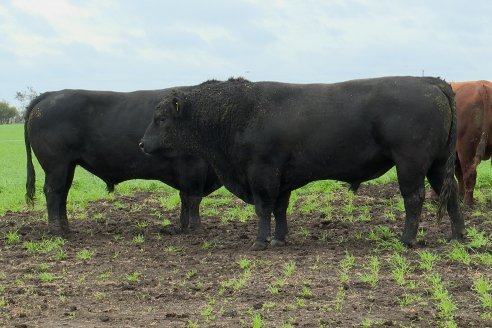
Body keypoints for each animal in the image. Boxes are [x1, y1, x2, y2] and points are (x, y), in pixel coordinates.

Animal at [141, 77, 466, 251]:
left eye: (161, 118)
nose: (142, 144)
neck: (240, 113)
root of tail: (428, 80)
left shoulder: (262, 173)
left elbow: (264, 208)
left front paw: (261, 241)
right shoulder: (283, 177)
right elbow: (280, 209)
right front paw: (280, 239)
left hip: (410, 164)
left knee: (414, 198)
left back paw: (407, 240)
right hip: (437, 165)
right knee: (451, 196)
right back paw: (458, 237)